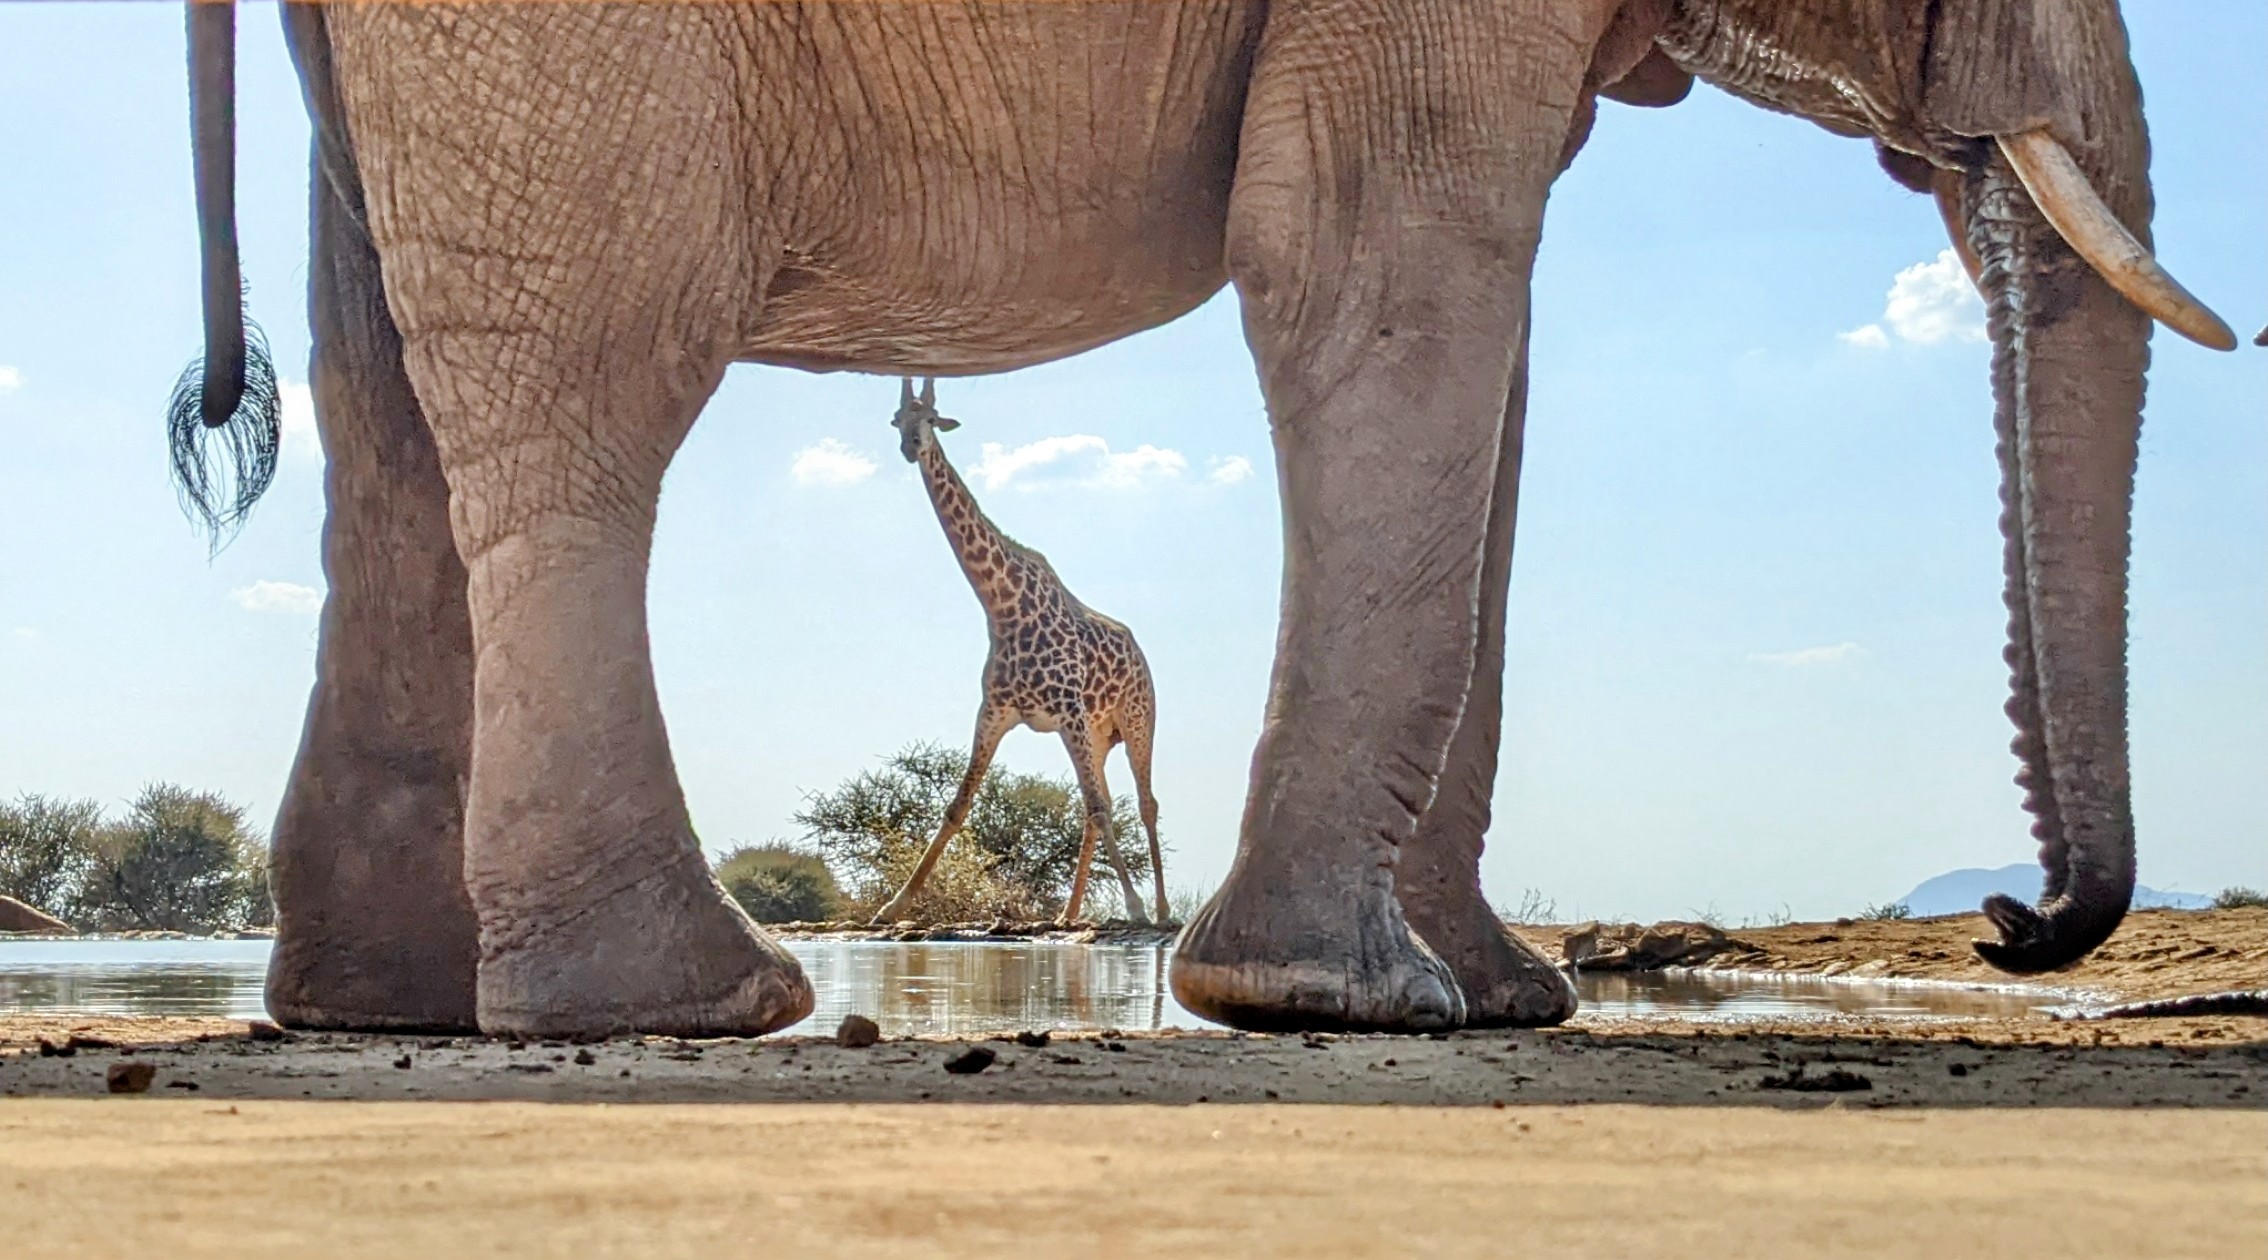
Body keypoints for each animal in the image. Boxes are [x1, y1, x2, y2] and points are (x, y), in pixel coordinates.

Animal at [166, 0, 2234, 1040]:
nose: (2014, 922)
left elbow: (1474, 332)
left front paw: (1466, 1002)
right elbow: (1380, 272)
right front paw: (1338, 999)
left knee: (388, 385)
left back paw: (402, 1006)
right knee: (587, 365)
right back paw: (687, 1005)